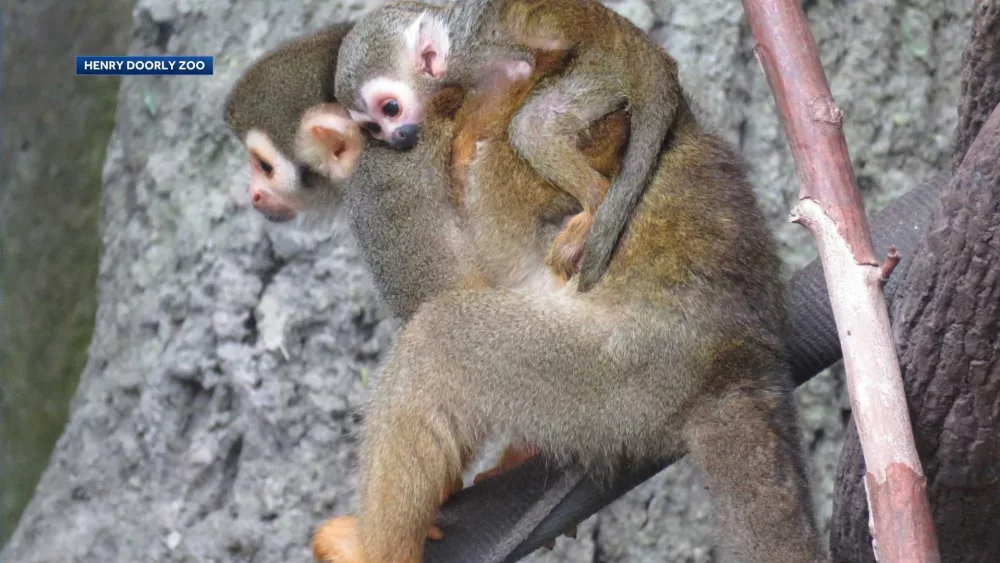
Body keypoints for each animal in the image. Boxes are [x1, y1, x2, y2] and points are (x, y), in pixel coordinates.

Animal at [314, 40, 825, 563]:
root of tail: (740, 360)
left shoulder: (386, 176)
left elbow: (450, 285)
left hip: (627, 373)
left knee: (441, 338)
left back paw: (372, 548)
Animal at [335, 0, 683, 288]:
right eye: (373, 127)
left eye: (391, 109)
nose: (395, 137)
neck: (451, 38)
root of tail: (639, 44)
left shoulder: (475, 55)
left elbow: (521, 71)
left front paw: (462, 148)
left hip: (600, 73)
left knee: (532, 125)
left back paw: (594, 202)